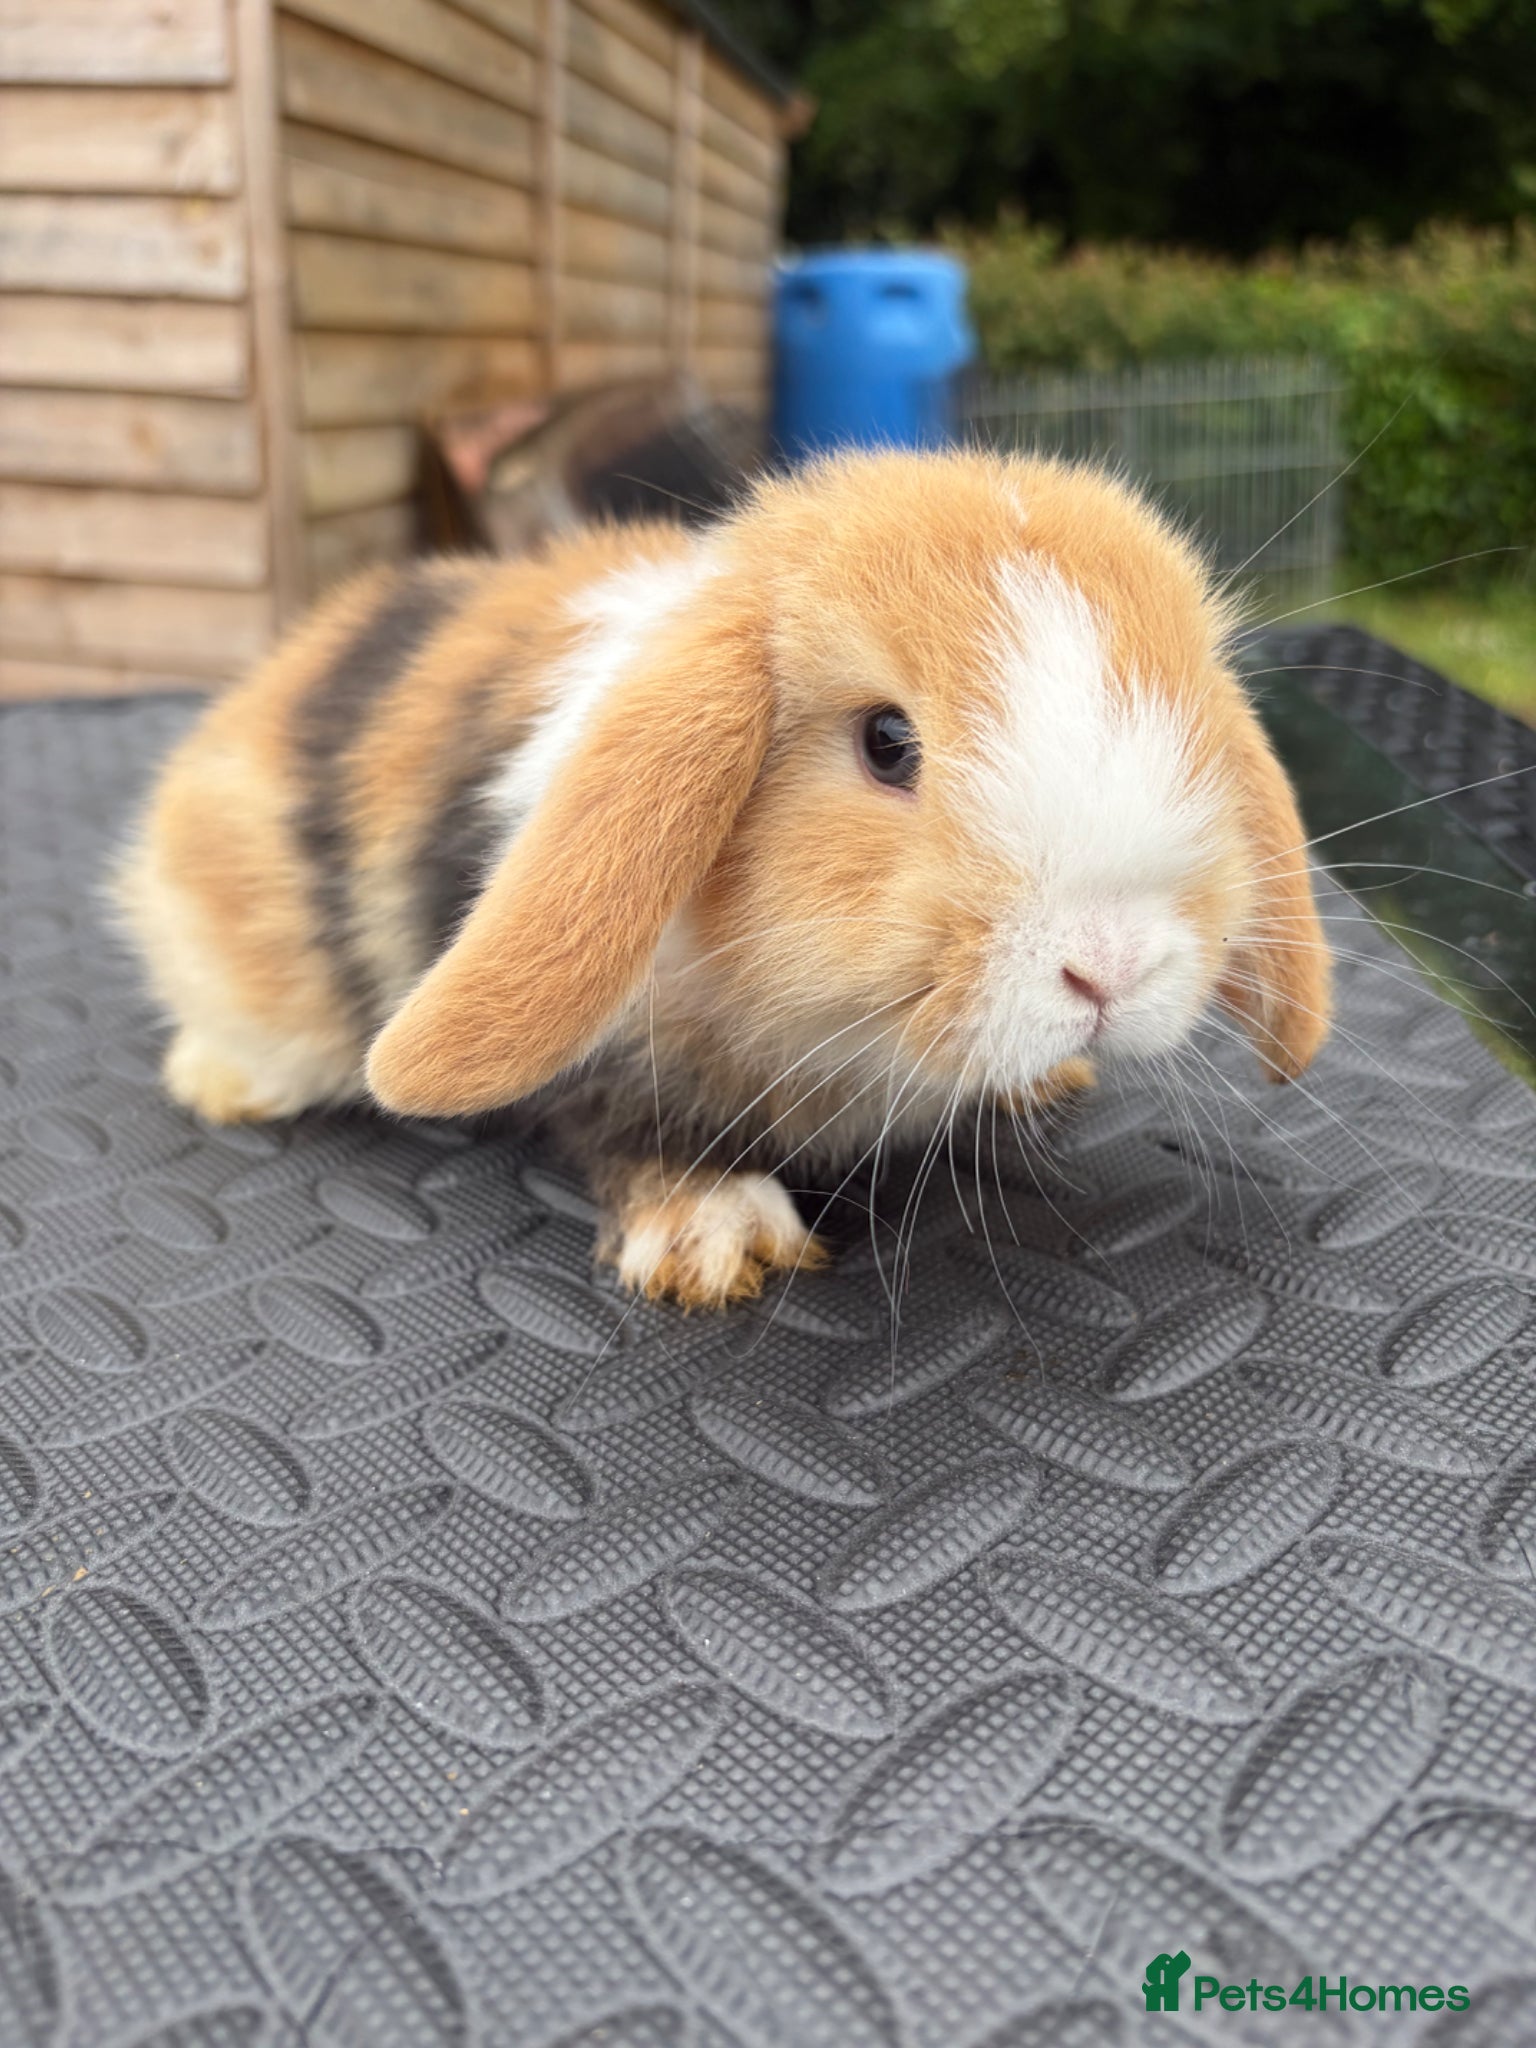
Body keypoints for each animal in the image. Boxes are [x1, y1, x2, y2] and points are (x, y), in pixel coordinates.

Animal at [114, 449, 1331, 1309]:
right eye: (887, 742)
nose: (1109, 967)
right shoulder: (615, 1065)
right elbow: (628, 1130)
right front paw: (720, 1238)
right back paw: (226, 1084)